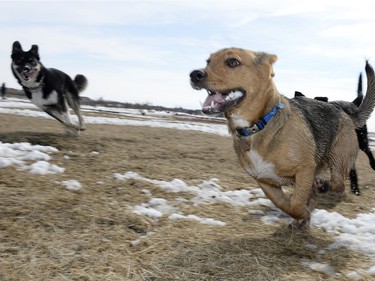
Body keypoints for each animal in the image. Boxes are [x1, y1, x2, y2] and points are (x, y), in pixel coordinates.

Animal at [189, 48, 375, 228]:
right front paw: (302, 216)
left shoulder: (305, 170)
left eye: (232, 62)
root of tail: (346, 113)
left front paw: (303, 214)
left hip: (338, 157)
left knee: (338, 184)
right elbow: (285, 204)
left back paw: (324, 185)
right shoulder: (265, 181)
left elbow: (296, 202)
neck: (258, 126)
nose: (194, 74)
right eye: (208, 62)